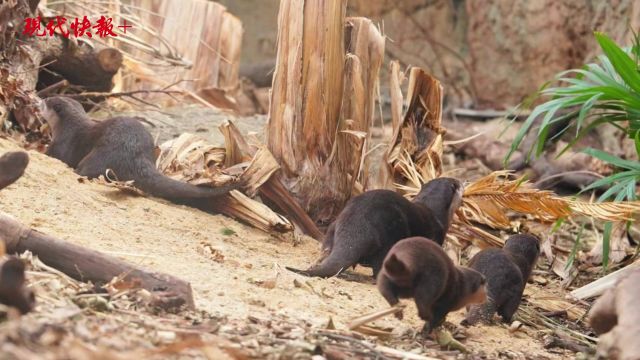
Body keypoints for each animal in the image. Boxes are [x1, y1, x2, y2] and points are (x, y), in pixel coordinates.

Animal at [40, 97, 240, 207]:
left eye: (47, 101)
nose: (40, 98)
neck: (68, 127)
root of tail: (137, 159)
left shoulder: (61, 144)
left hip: (100, 156)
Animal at [288, 177, 462, 278]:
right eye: (458, 183)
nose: (464, 182)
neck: (435, 211)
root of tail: (358, 226)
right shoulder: (437, 236)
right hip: (390, 236)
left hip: (333, 225)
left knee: (326, 248)